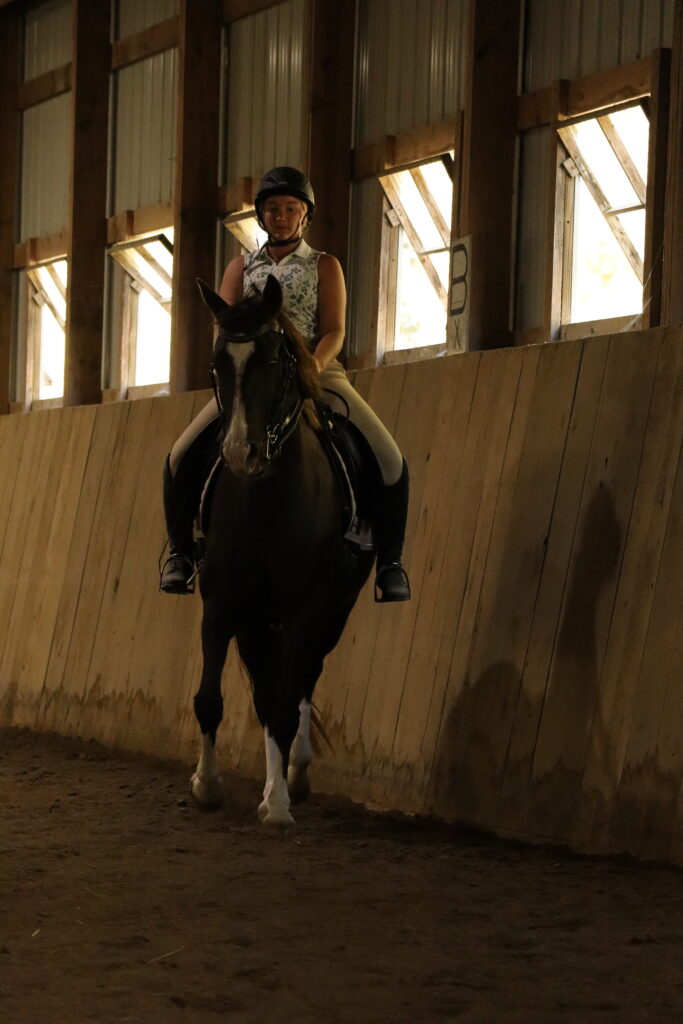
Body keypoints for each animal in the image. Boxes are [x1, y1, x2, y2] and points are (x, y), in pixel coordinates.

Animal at [190, 274, 375, 830]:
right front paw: (207, 786)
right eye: (217, 363)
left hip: (332, 615)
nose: (238, 454)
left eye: (274, 359)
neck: (266, 498)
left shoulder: (307, 610)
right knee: (268, 688)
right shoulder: (222, 602)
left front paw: (276, 805)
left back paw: (295, 774)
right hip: (256, 620)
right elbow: (211, 699)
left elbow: (284, 703)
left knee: (302, 684)